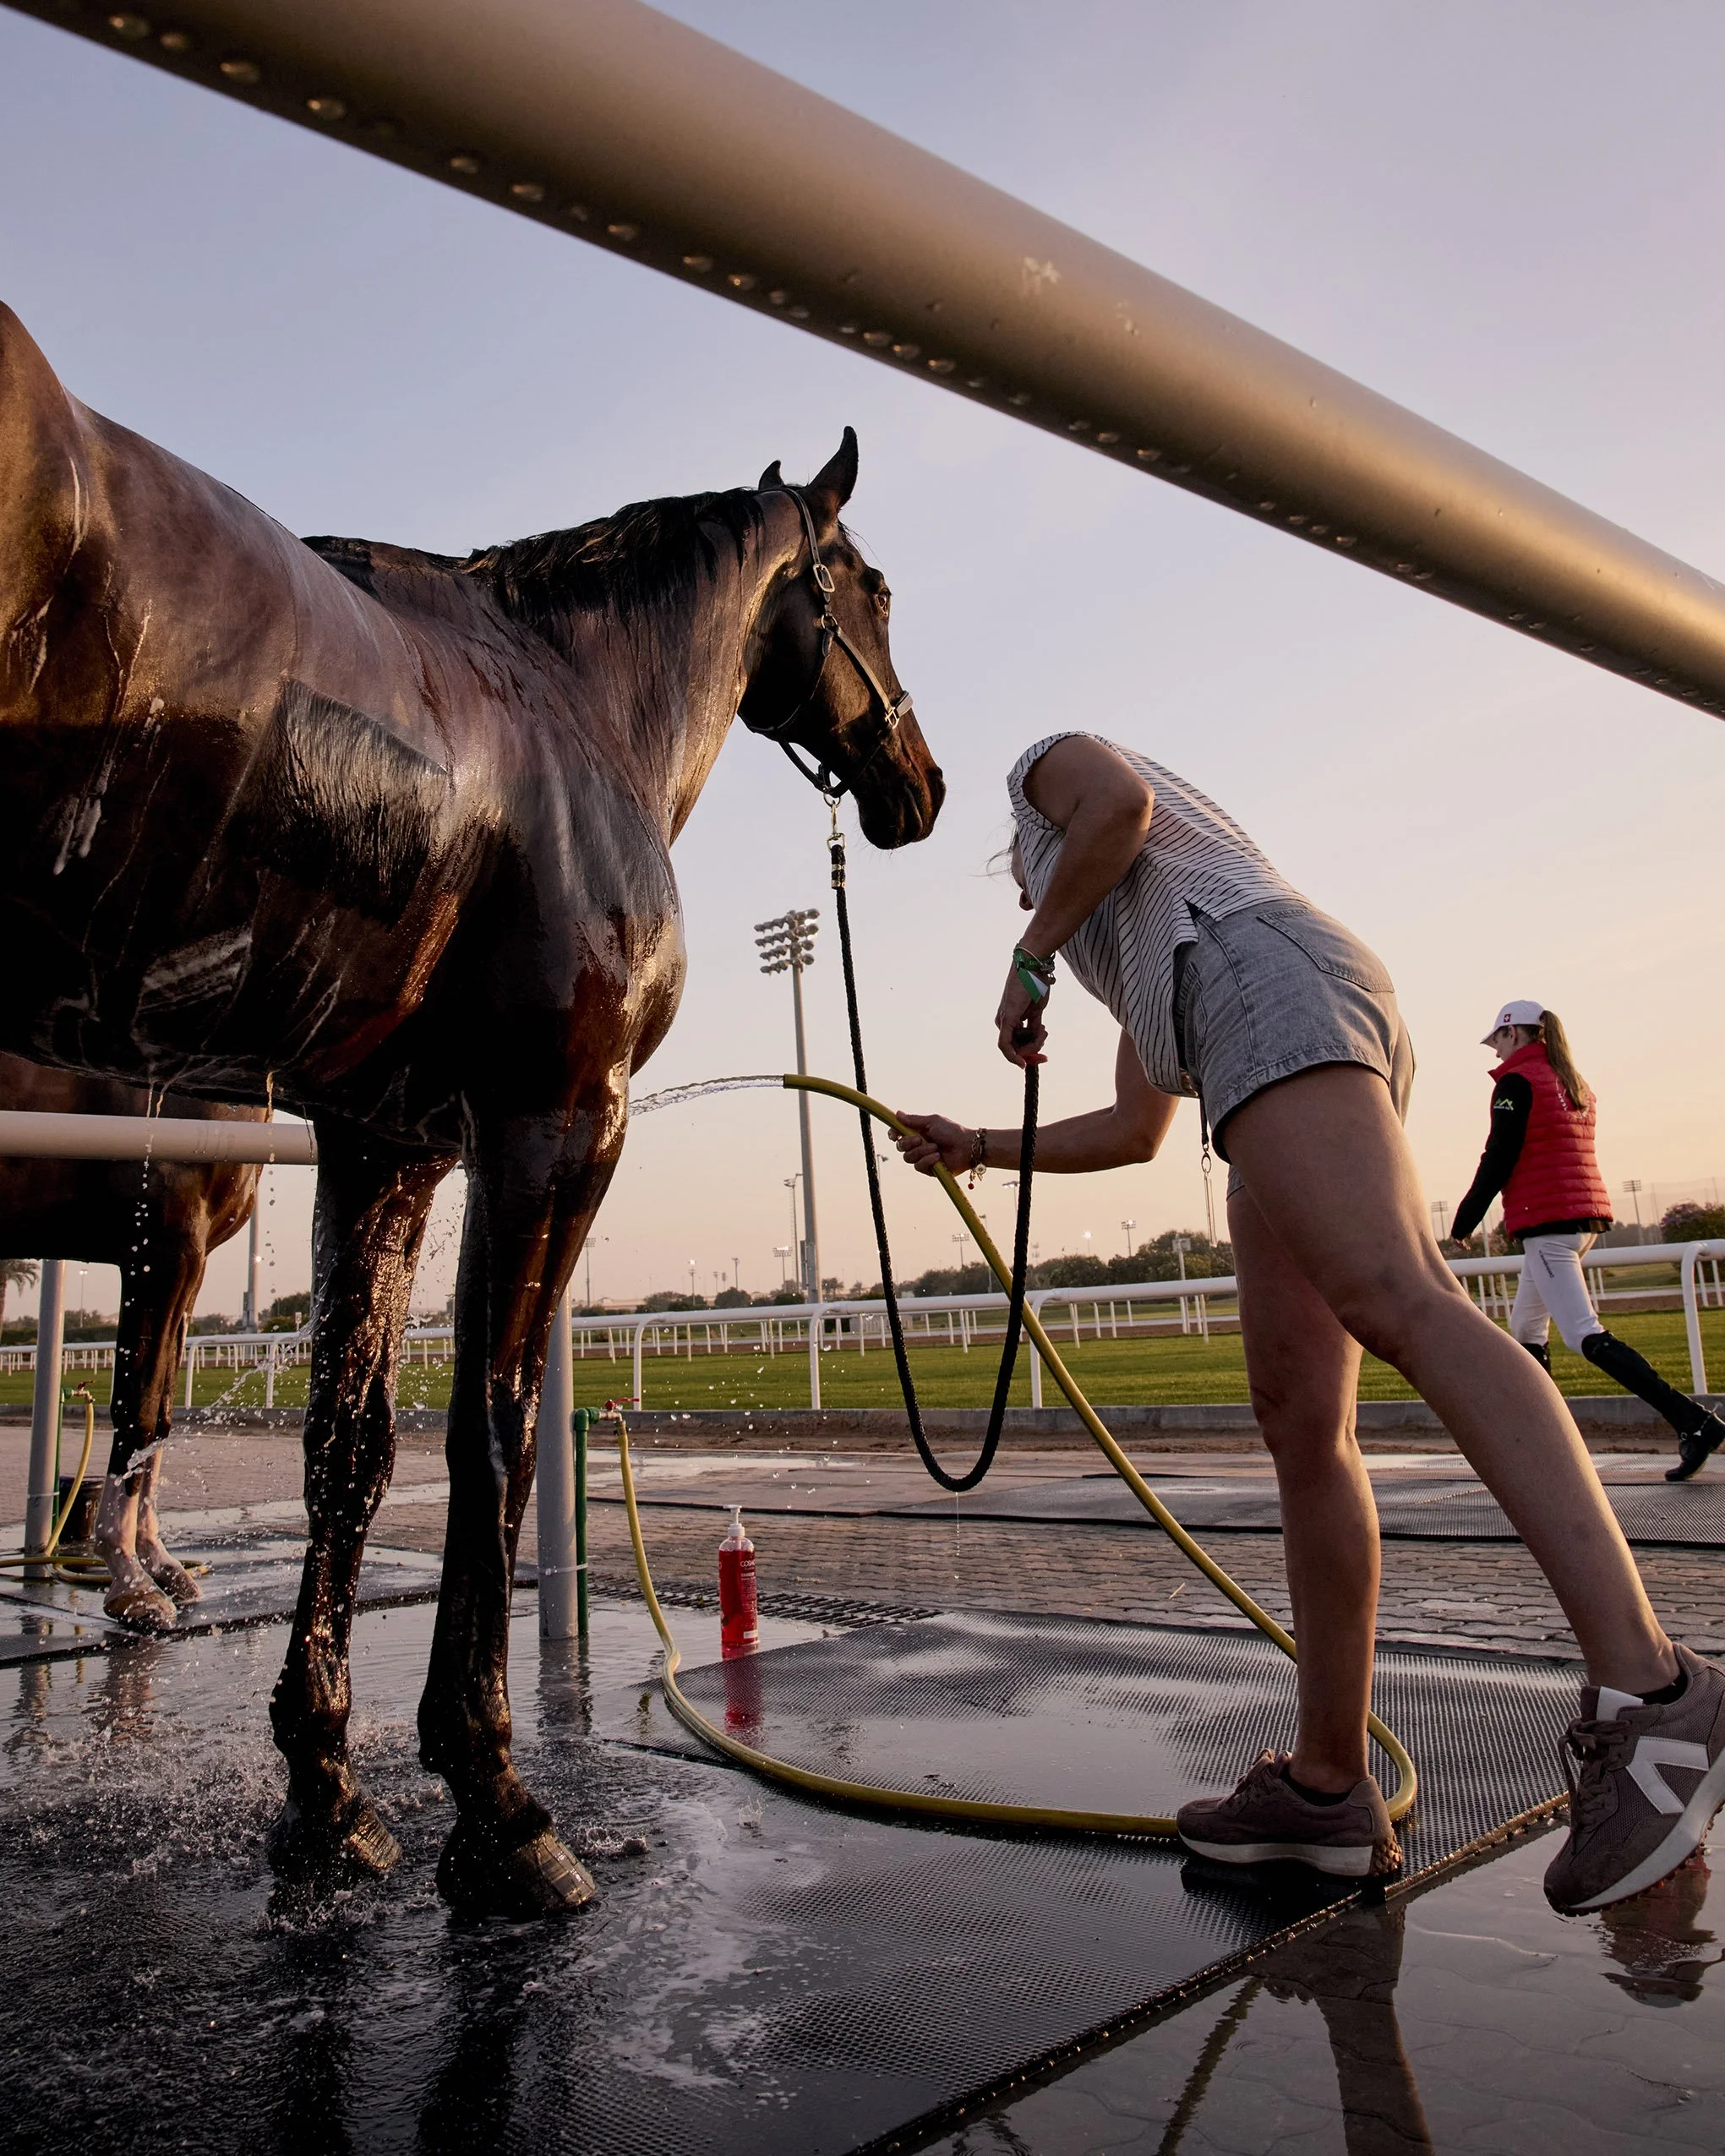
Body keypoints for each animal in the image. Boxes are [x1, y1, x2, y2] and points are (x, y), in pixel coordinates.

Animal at [0, 1053, 262, 1629]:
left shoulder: (192, 1264)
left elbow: (161, 1414)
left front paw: (160, 1563)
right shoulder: (161, 1249)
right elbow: (137, 1411)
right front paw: (130, 1583)